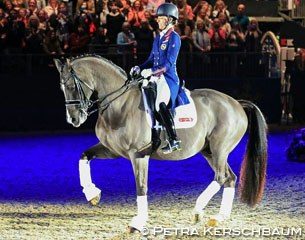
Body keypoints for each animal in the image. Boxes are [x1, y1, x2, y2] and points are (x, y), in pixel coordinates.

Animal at [53, 55, 268, 233]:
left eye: (72, 86)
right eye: (62, 88)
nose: (73, 119)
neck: (120, 104)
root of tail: (237, 103)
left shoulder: (138, 154)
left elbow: (141, 186)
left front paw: (138, 222)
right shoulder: (112, 150)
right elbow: (84, 156)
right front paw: (92, 194)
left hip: (219, 149)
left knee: (222, 177)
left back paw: (198, 210)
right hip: (209, 152)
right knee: (229, 178)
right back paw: (218, 216)